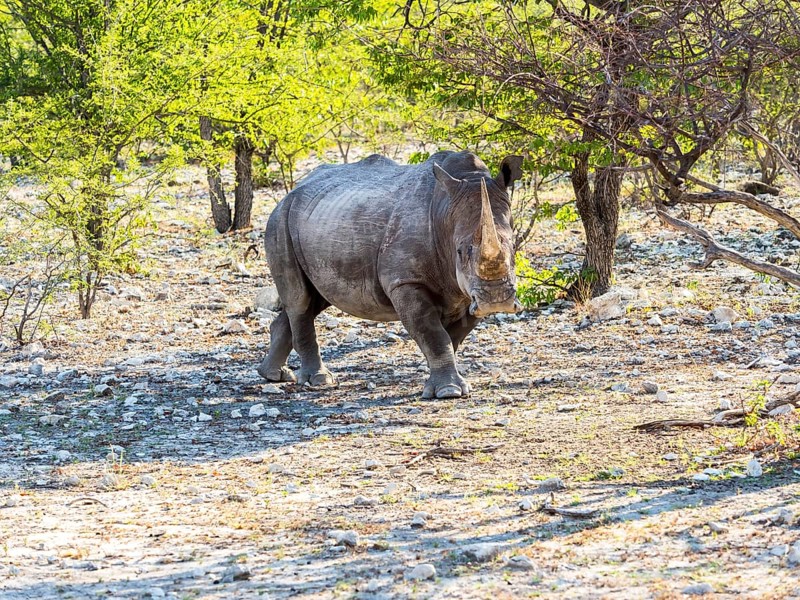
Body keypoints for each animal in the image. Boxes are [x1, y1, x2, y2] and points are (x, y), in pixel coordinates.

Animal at [257, 150, 523, 398]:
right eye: (459, 251)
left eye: (514, 247)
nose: (496, 301)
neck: (445, 212)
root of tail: (292, 191)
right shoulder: (404, 281)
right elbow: (434, 335)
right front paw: (449, 391)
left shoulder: (467, 291)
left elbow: (452, 337)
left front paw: (441, 382)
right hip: (280, 220)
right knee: (300, 300)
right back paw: (318, 380)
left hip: (321, 222)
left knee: (314, 298)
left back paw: (273, 375)